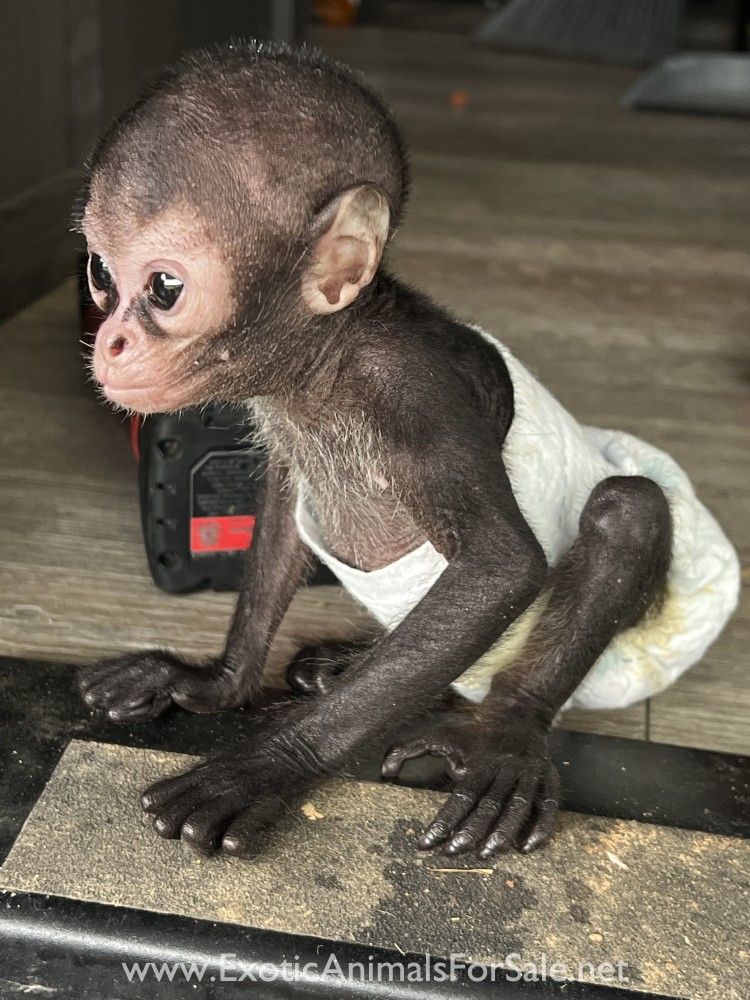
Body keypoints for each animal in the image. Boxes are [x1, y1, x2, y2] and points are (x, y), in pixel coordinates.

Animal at [75, 41, 741, 860]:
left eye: (164, 287)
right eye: (100, 274)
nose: (110, 342)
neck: (326, 369)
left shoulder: (416, 392)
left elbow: (499, 568)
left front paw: (269, 766)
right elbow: (284, 510)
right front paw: (217, 682)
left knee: (628, 505)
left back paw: (507, 730)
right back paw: (350, 664)